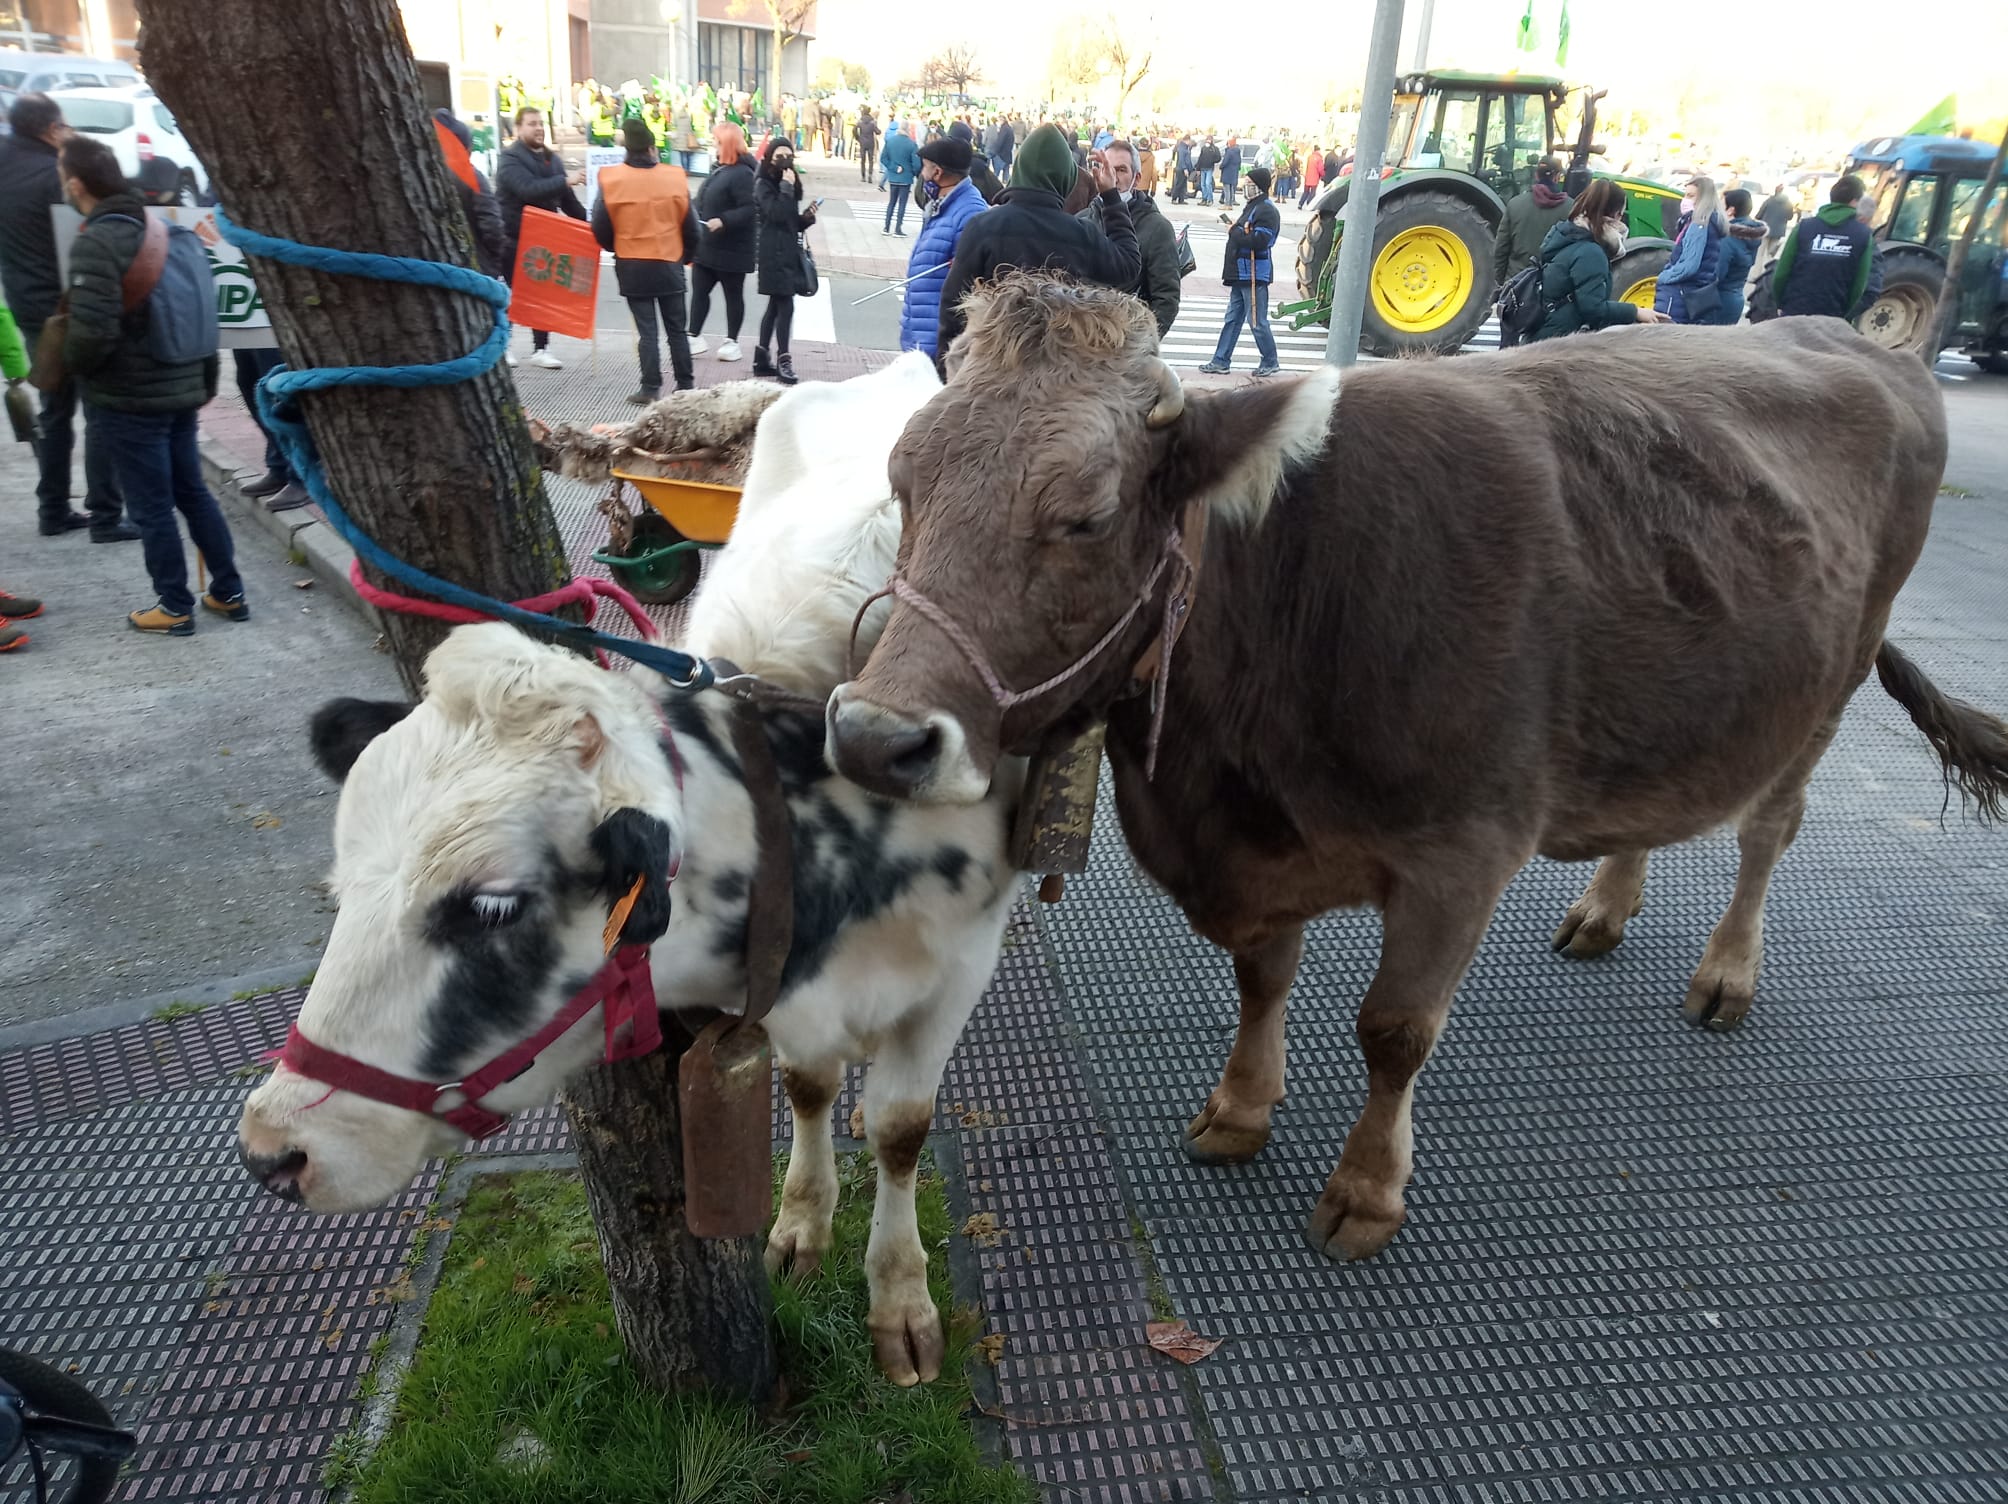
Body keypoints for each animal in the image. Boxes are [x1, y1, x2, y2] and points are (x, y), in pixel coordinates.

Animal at [238, 355, 1020, 1381]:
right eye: (340, 890)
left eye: (492, 906)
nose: (272, 1150)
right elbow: (808, 1085)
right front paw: (802, 1222)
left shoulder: (959, 966)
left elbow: (901, 1126)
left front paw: (900, 1301)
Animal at [819, 269, 2007, 1252]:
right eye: (903, 480)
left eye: (1085, 516)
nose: (875, 734)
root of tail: (1853, 337)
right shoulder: (1261, 858)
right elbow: (1263, 978)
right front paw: (1239, 1108)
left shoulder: (1461, 852)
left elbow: (1392, 1031)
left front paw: (1364, 1190)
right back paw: (1605, 907)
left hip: (1826, 688)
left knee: (1768, 828)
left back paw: (1726, 971)